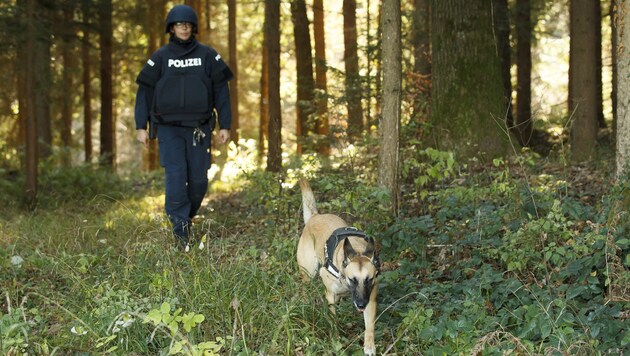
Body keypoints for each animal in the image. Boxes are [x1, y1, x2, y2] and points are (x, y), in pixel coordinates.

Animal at [298, 179, 382, 354]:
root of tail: (315, 217)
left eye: (369, 279)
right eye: (352, 279)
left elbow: (369, 327)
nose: (361, 304)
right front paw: (335, 339)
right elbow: (333, 320)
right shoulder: (330, 293)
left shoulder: (370, 298)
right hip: (308, 273)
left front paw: (369, 345)